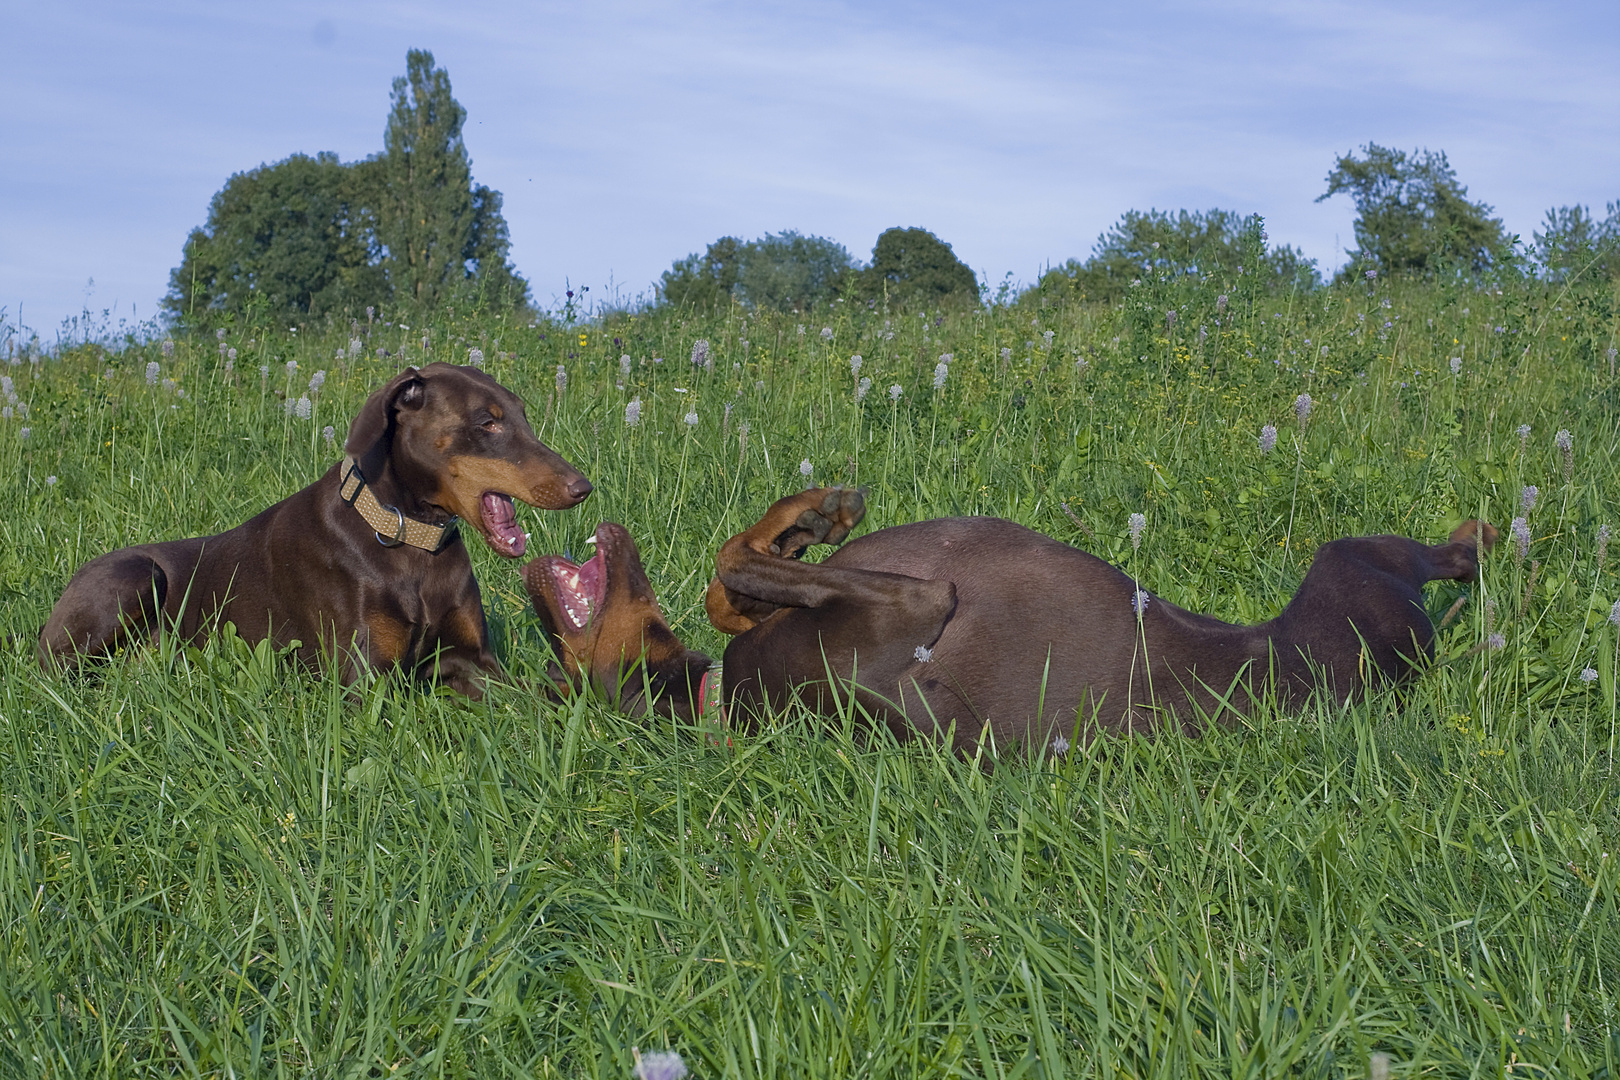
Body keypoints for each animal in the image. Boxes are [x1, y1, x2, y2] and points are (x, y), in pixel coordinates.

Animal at [41, 365, 592, 702]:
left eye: (523, 414)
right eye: (487, 423)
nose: (582, 486)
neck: (408, 538)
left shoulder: (473, 660)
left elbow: (528, 699)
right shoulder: (364, 679)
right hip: (134, 576)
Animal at [524, 488, 1496, 751]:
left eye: (550, 658)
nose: (528, 592)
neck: (727, 702)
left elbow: (733, 579)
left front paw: (810, 514)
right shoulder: (914, 603)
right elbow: (732, 562)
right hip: (1356, 572)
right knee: (1446, 561)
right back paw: (1481, 538)